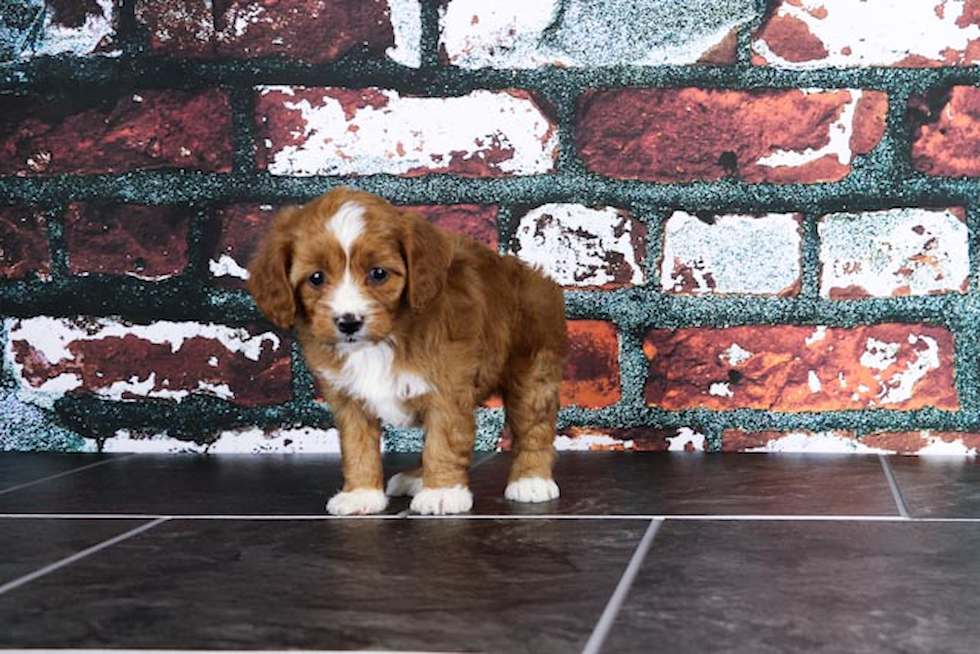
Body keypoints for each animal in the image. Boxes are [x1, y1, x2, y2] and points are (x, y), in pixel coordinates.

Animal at [247, 187, 568, 516]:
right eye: (316, 278)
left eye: (378, 274)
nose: (349, 322)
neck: (384, 338)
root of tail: (533, 274)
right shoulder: (349, 400)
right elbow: (357, 447)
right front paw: (361, 494)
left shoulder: (448, 389)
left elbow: (443, 441)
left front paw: (442, 492)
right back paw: (417, 477)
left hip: (532, 371)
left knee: (534, 426)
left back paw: (531, 480)